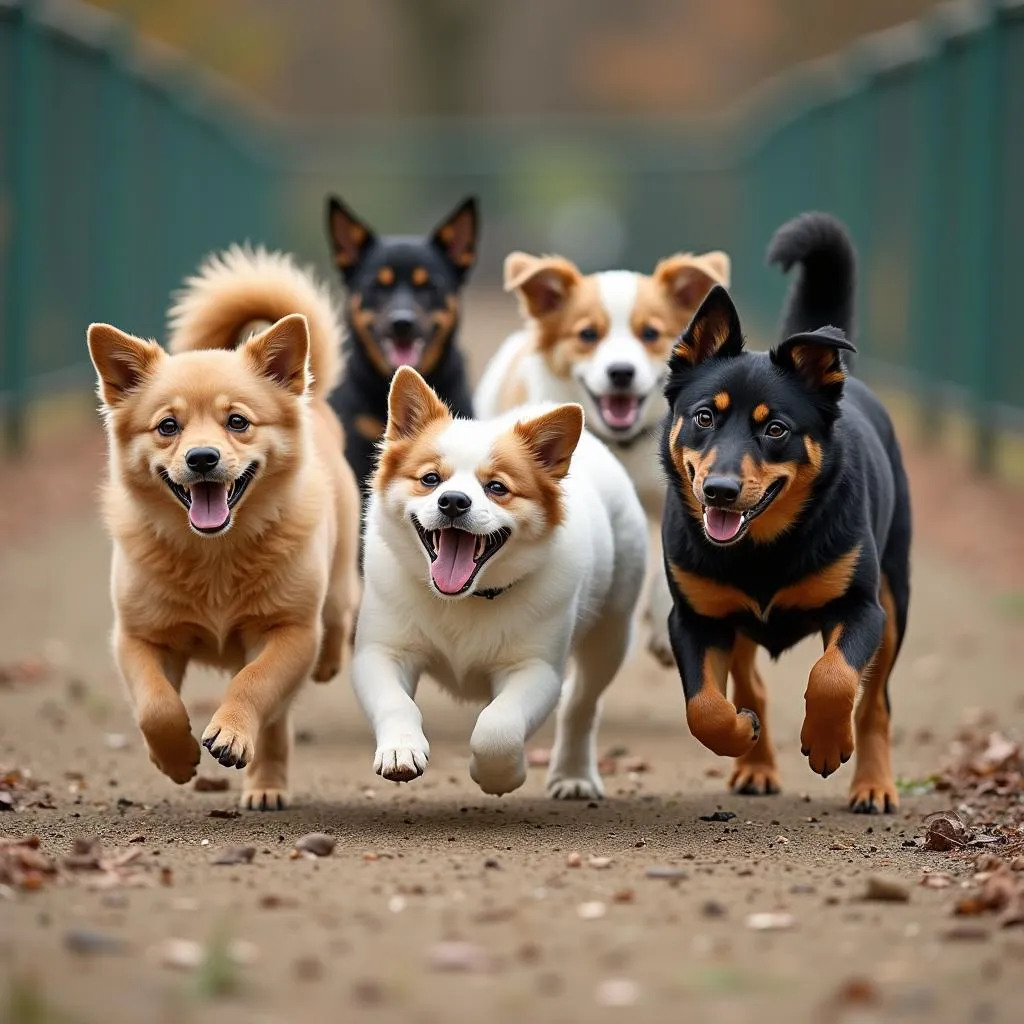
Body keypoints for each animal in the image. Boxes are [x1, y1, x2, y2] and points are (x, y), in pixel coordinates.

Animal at [88, 245, 362, 806]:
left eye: (238, 422)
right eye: (167, 426)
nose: (202, 458)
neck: (215, 553)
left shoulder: (288, 634)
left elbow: (253, 684)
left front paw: (231, 732)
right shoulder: (138, 637)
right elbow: (156, 705)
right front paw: (175, 757)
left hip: (338, 578)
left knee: (334, 621)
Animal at [350, 368, 638, 798]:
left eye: (497, 488)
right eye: (430, 479)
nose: (453, 501)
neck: (465, 599)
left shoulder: (535, 670)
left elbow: (498, 728)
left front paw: (501, 776)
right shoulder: (382, 653)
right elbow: (397, 703)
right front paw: (401, 748)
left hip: (611, 635)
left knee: (581, 705)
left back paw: (574, 774)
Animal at [659, 211, 909, 811]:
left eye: (775, 429)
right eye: (704, 417)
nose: (720, 491)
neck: (762, 547)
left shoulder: (861, 608)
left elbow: (835, 677)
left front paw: (827, 741)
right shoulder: (695, 618)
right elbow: (704, 707)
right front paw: (740, 733)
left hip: (896, 599)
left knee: (877, 702)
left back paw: (873, 783)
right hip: (737, 623)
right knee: (751, 684)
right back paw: (755, 764)